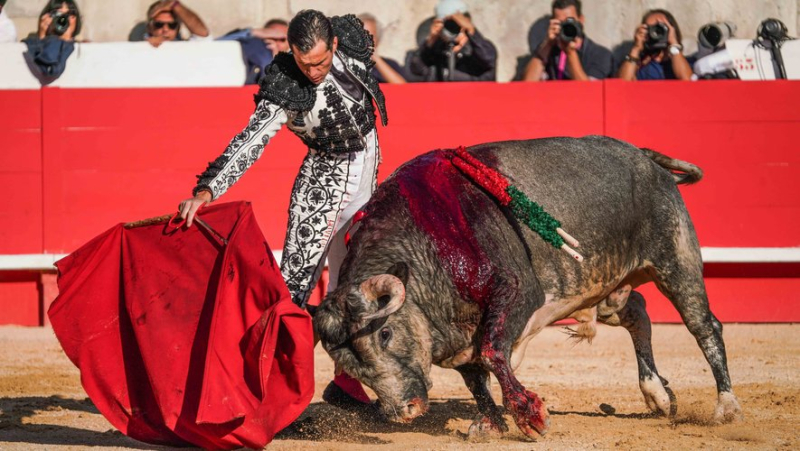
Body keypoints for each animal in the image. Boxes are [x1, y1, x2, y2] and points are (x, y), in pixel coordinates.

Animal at [312, 137, 744, 438]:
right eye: (349, 364)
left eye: (384, 333)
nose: (404, 411)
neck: (427, 243)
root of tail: (643, 156)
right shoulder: (459, 336)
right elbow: (475, 377)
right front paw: (490, 423)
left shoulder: (517, 294)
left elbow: (491, 354)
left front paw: (531, 416)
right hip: (609, 287)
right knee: (636, 311)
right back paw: (657, 395)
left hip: (676, 261)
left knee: (704, 326)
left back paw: (726, 407)